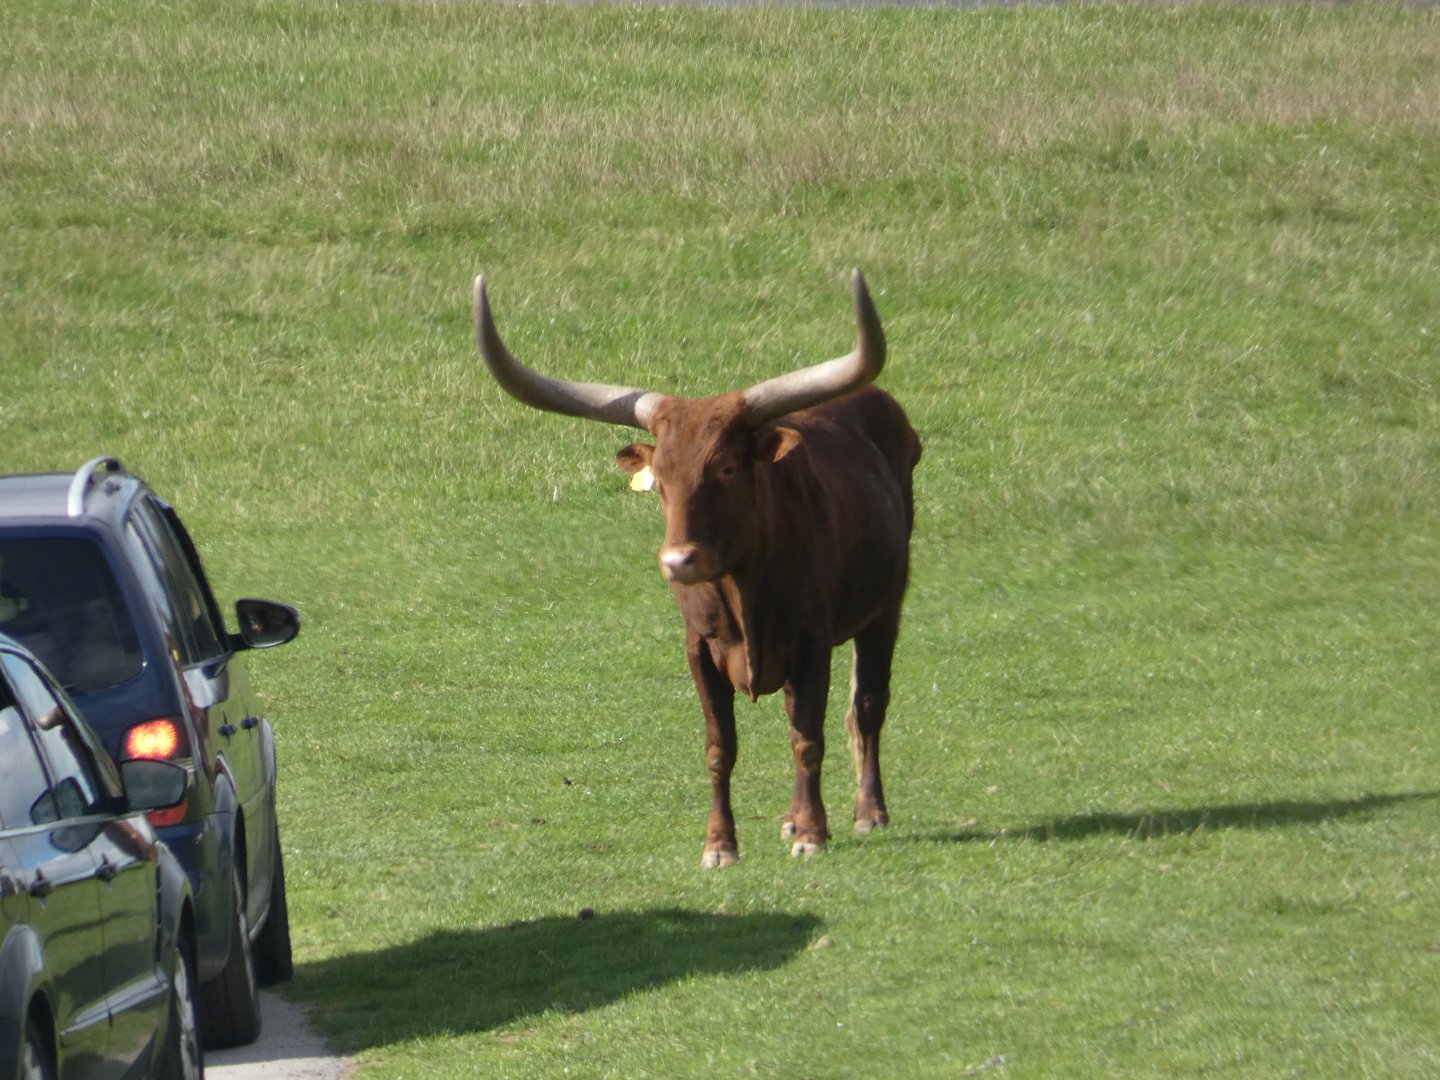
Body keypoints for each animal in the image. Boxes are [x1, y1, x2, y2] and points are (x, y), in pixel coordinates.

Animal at [472, 270, 922, 867]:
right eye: (660, 479)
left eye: (726, 468)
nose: (678, 561)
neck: (742, 588)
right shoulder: (699, 648)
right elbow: (719, 747)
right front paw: (720, 845)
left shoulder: (811, 641)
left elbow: (807, 736)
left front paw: (811, 833)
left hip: (886, 606)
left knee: (868, 705)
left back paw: (869, 811)